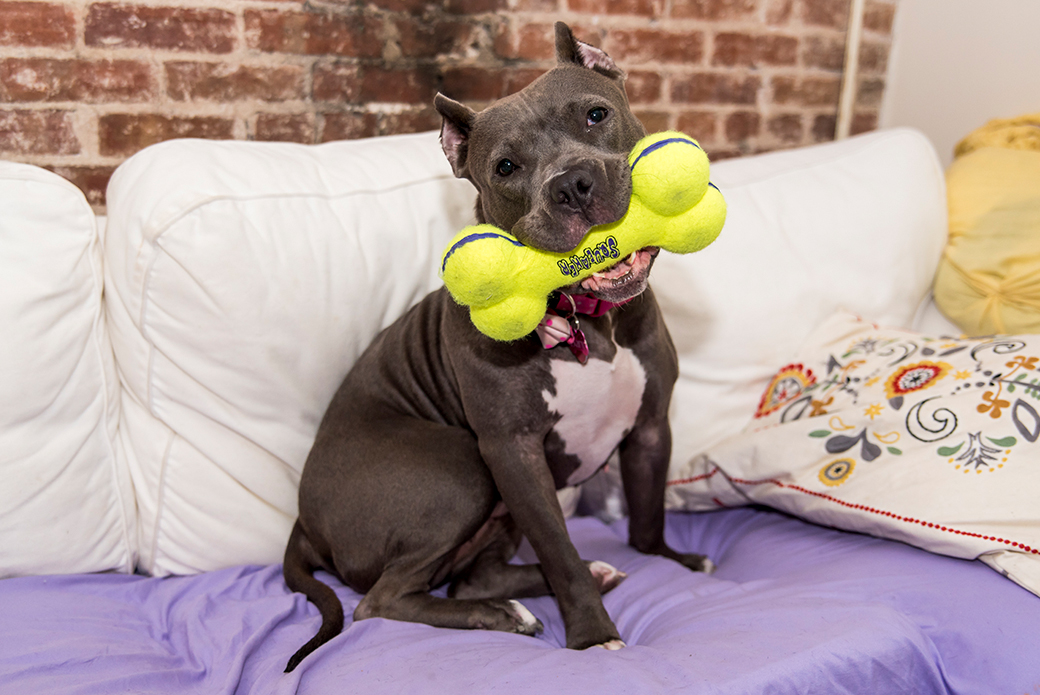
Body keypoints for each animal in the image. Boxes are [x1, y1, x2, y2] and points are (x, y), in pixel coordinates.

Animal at [280, 23, 711, 674]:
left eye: (596, 115)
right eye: (506, 166)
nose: (571, 184)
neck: (586, 322)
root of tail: (304, 522)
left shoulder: (650, 426)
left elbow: (646, 518)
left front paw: (675, 560)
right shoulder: (514, 454)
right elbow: (559, 551)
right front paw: (592, 636)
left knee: (469, 577)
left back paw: (572, 580)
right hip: (459, 470)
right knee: (380, 600)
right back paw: (508, 614)